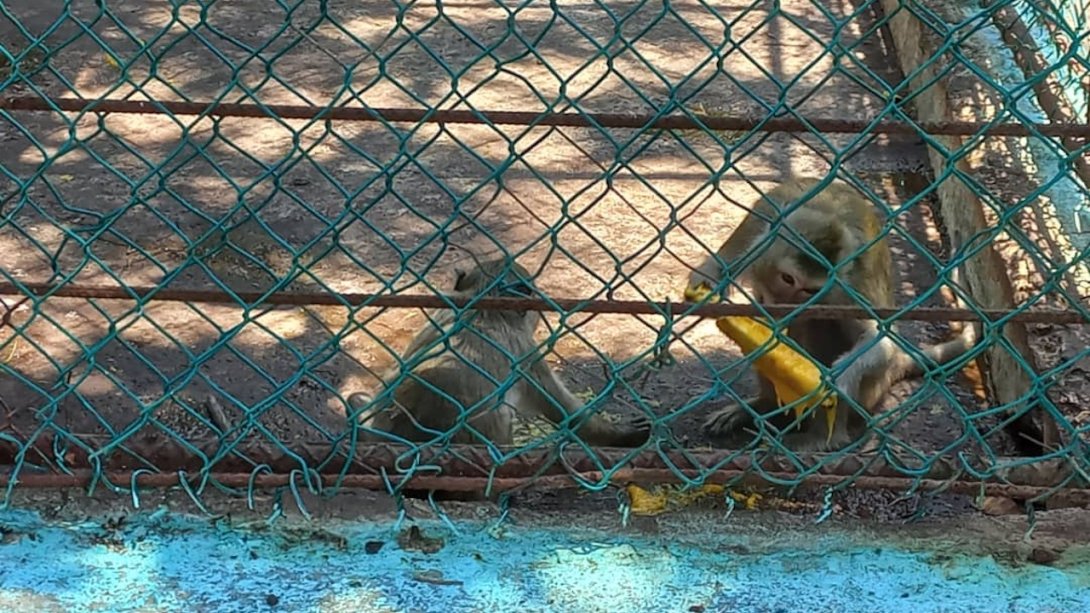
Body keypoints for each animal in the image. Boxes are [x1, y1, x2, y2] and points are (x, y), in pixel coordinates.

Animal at [684, 176, 1042, 453]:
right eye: (787, 279)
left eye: (810, 289)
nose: (786, 304)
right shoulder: (761, 217)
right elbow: (720, 265)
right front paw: (706, 288)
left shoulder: (847, 284)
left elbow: (876, 340)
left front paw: (834, 381)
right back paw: (765, 407)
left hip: (873, 385)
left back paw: (824, 438)